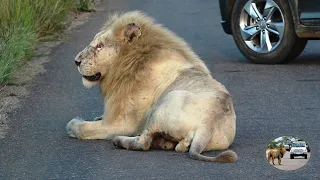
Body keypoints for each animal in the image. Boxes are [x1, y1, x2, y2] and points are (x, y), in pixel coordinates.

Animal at [66, 11, 238, 163]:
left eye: (100, 46)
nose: (76, 61)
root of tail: (207, 126)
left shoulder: (121, 123)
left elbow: (81, 128)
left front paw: (75, 123)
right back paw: (165, 142)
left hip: (166, 101)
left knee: (144, 142)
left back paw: (119, 141)